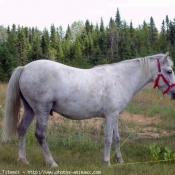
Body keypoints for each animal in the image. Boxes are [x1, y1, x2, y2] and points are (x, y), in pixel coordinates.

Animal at [2, 52, 175, 167]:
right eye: (169, 71)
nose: (174, 93)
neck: (120, 78)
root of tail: (25, 68)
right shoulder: (110, 116)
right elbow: (108, 138)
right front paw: (107, 162)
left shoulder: (115, 116)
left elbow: (117, 138)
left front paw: (120, 160)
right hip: (42, 109)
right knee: (40, 134)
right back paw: (52, 163)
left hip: (30, 109)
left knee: (22, 129)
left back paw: (23, 160)